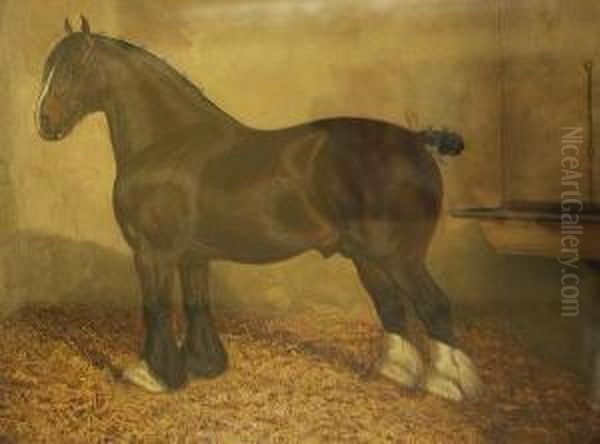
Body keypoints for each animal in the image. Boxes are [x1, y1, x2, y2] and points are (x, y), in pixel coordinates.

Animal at [35, 17, 482, 400]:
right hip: (368, 257)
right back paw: (395, 372)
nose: (44, 122)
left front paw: (154, 374)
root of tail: (416, 140)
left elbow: (156, 307)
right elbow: (197, 303)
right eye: (48, 67)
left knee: (433, 306)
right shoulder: (193, 256)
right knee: (391, 306)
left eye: (73, 68)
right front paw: (205, 365)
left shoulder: (152, 252)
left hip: (399, 256)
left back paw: (447, 384)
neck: (169, 141)